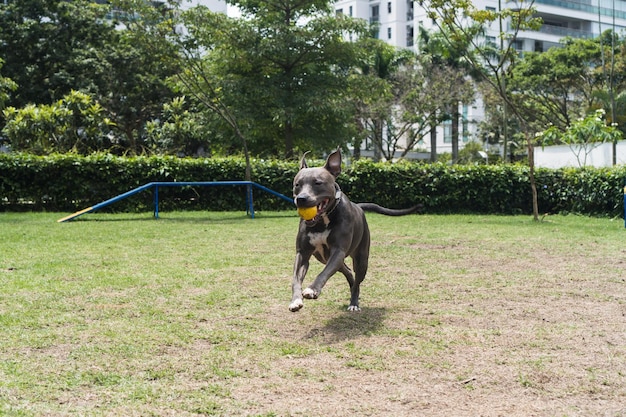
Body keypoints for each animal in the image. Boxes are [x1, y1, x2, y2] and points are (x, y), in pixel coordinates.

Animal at [288, 148, 420, 310]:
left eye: (318, 183)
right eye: (297, 184)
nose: (301, 199)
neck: (323, 220)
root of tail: (358, 206)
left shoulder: (338, 250)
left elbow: (323, 274)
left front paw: (312, 289)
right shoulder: (303, 253)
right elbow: (295, 279)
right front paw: (295, 300)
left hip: (361, 259)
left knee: (357, 279)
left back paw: (354, 303)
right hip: (324, 257)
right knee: (348, 272)